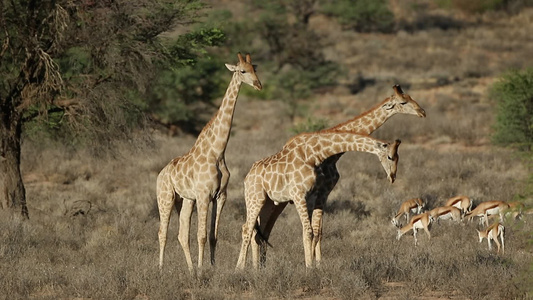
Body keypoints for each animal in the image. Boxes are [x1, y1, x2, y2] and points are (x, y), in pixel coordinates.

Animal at [156, 52, 262, 274]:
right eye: (242, 71)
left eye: (255, 69)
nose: (258, 85)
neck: (218, 151)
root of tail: (160, 174)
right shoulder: (204, 195)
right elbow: (202, 235)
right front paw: (202, 268)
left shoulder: (220, 196)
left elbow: (213, 236)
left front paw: (210, 266)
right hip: (165, 198)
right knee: (163, 232)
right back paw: (161, 268)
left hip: (185, 200)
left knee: (181, 234)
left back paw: (189, 269)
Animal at [235, 131, 402, 270]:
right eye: (390, 157)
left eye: (398, 157)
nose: (392, 177)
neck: (313, 155)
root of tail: (247, 176)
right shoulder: (299, 195)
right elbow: (308, 231)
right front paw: (309, 267)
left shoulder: (311, 196)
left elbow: (311, 231)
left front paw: (312, 266)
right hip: (254, 198)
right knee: (247, 229)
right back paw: (239, 269)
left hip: (268, 202)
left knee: (259, 231)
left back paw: (257, 269)